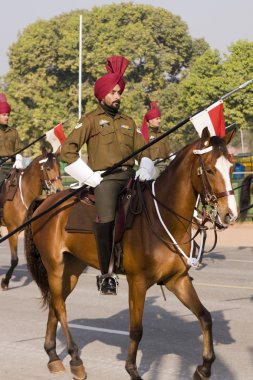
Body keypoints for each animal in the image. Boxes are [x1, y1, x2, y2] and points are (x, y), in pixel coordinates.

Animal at [0, 150, 62, 290]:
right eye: (48, 168)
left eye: (59, 167)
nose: (59, 190)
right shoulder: (12, 230)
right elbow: (15, 260)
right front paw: (5, 281)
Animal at [23, 128, 237, 380]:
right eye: (211, 170)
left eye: (231, 168)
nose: (230, 215)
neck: (163, 216)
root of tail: (46, 201)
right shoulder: (138, 282)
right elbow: (136, 329)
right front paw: (132, 370)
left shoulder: (177, 280)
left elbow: (205, 316)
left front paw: (204, 367)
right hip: (55, 268)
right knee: (61, 308)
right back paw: (75, 359)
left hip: (71, 270)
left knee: (56, 304)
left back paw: (53, 356)